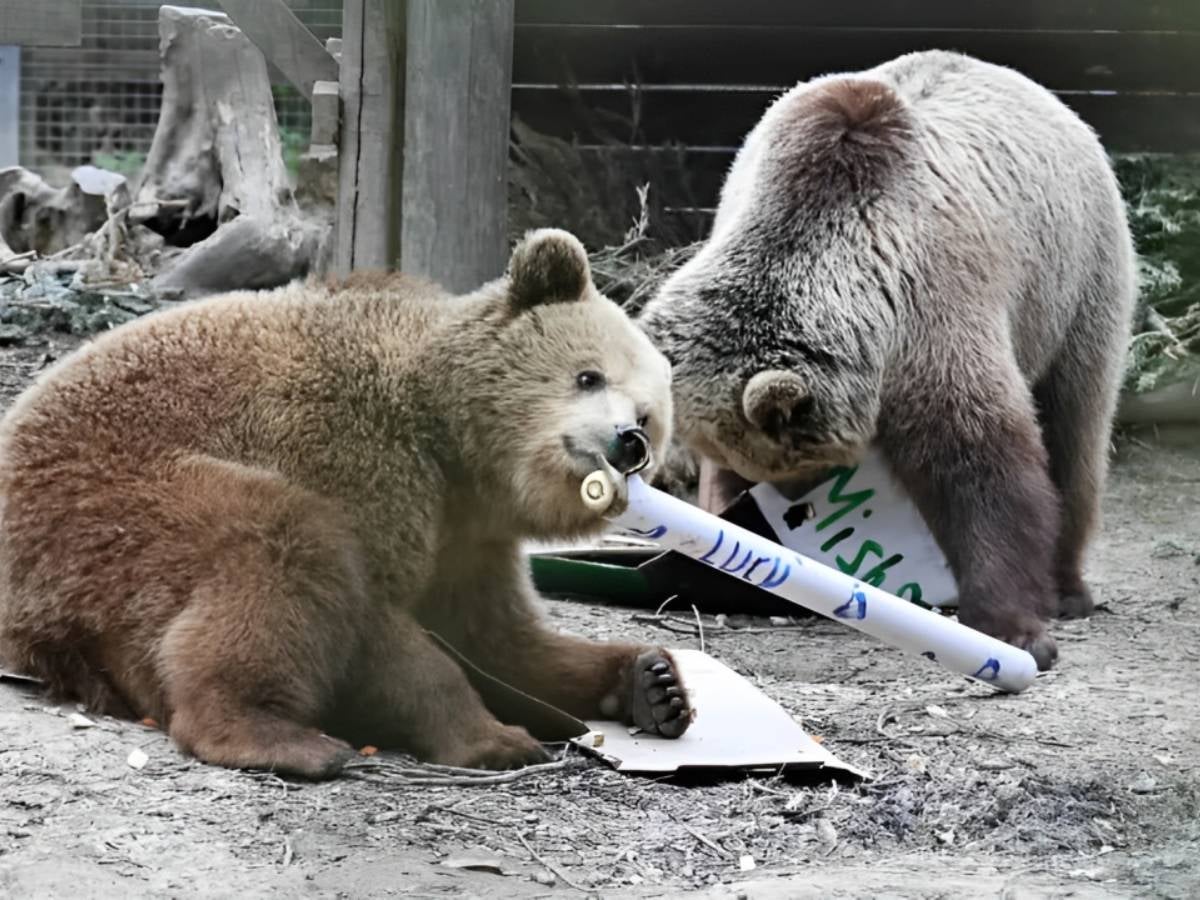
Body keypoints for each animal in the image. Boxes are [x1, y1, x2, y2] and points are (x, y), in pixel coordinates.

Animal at [0, 228, 693, 778]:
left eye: (647, 416)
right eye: (588, 375)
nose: (627, 442)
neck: (452, 445)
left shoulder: (468, 537)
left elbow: (498, 637)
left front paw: (652, 681)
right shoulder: (354, 452)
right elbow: (383, 625)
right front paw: (495, 739)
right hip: (106, 507)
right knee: (279, 547)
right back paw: (278, 735)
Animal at [636, 50, 1138, 671]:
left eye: (791, 464)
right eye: (746, 465)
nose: (788, 509)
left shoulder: (933, 309)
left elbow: (983, 468)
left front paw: (1015, 630)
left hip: (1075, 282)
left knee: (1075, 427)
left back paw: (1069, 588)